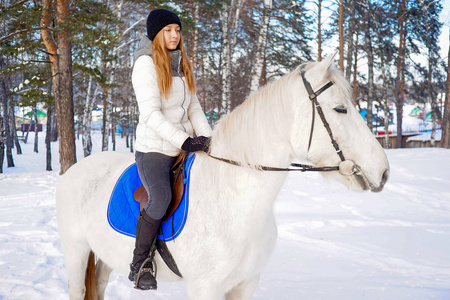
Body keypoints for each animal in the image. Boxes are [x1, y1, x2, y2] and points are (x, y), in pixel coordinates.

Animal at [55, 54, 386, 300]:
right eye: (340, 109)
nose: (382, 170)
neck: (233, 198)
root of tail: (75, 171)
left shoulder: (245, 283)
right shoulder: (205, 287)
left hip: (104, 256)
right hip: (76, 251)